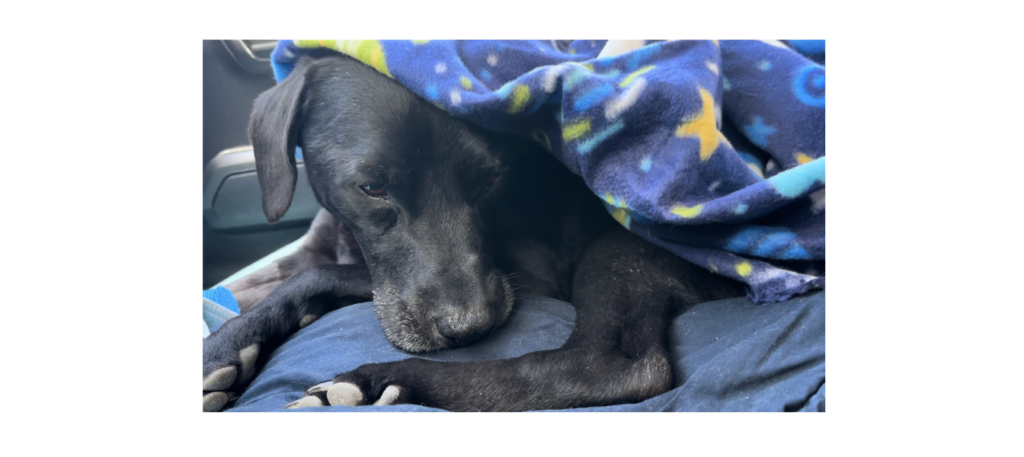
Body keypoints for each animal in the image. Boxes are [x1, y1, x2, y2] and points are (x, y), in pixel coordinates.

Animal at [201, 51, 745, 411]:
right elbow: (264, 283)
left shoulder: (532, 278)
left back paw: (384, 379)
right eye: (372, 187)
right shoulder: (313, 249)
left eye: (491, 178)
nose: (470, 327)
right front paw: (233, 342)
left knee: (613, 367)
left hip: (620, 253)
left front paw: (221, 346)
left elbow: (318, 278)